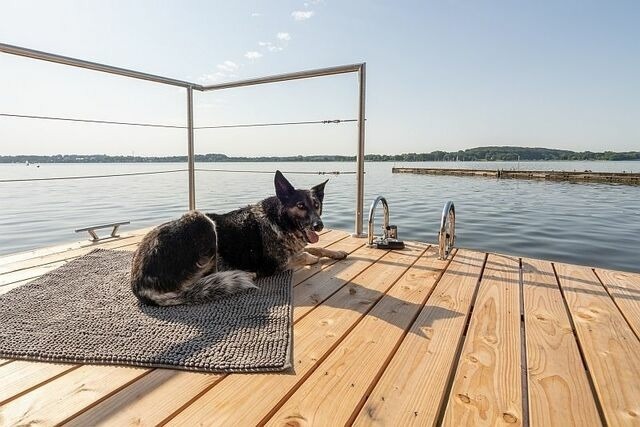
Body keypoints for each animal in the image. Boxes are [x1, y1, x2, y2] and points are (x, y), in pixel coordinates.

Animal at [130, 169, 348, 306]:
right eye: (301, 206)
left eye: (316, 205)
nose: (319, 225)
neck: (277, 219)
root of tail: (139, 285)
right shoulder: (274, 264)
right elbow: (304, 255)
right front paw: (312, 258)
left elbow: (315, 247)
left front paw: (337, 252)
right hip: (202, 221)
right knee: (211, 275)